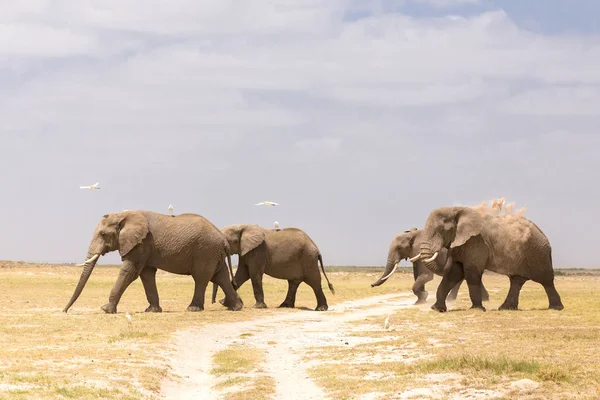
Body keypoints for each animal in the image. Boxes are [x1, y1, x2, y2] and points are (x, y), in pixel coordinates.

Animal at [63, 211, 244, 314]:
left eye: (102, 234)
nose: (64, 311)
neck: (123, 215)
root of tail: (223, 239)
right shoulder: (144, 247)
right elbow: (146, 275)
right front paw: (152, 311)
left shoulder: (141, 243)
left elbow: (130, 272)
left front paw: (105, 310)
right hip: (213, 253)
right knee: (220, 277)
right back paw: (236, 307)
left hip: (205, 251)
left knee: (201, 278)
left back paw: (193, 309)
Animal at [412, 206, 564, 312]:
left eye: (441, 230)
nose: (448, 249)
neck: (456, 210)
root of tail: (544, 235)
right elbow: (454, 274)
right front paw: (437, 309)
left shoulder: (476, 243)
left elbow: (471, 273)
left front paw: (477, 309)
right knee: (516, 281)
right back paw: (505, 308)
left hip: (537, 254)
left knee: (546, 280)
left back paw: (556, 308)